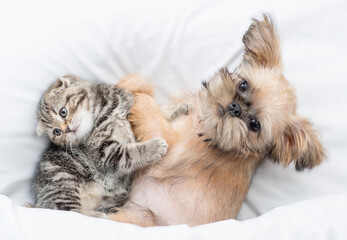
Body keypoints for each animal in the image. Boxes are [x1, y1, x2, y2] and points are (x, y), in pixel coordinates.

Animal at [32, 75, 169, 218]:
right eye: (56, 132)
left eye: (63, 112)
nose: (67, 129)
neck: (104, 112)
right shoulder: (106, 155)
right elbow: (129, 154)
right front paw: (155, 147)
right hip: (63, 179)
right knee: (71, 212)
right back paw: (98, 215)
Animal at [111, 15, 326, 227]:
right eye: (243, 85)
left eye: (254, 124)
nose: (236, 108)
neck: (202, 123)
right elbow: (146, 88)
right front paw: (128, 84)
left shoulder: (169, 145)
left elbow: (149, 107)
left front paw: (133, 97)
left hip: (142, 217)